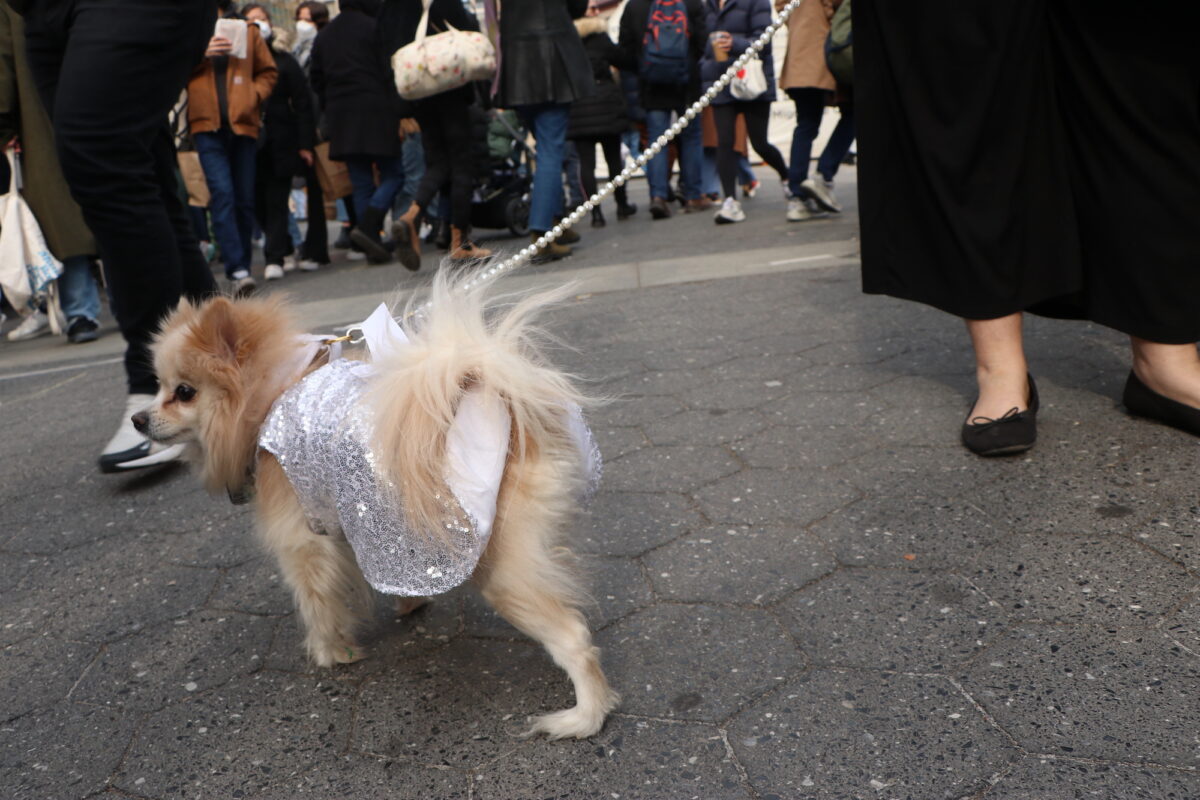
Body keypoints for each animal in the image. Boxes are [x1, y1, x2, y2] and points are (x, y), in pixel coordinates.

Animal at [133, 275, 619, 738]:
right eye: (157, 387)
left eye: (183, 392)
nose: (137, 418)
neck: (272, 391)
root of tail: (505, 407)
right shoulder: (358, 519)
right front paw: (410, 604)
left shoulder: (302, 540)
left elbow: (318, 601)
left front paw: (331, 651)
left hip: (500, 566)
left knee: (573, 637)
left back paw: (582, 719)